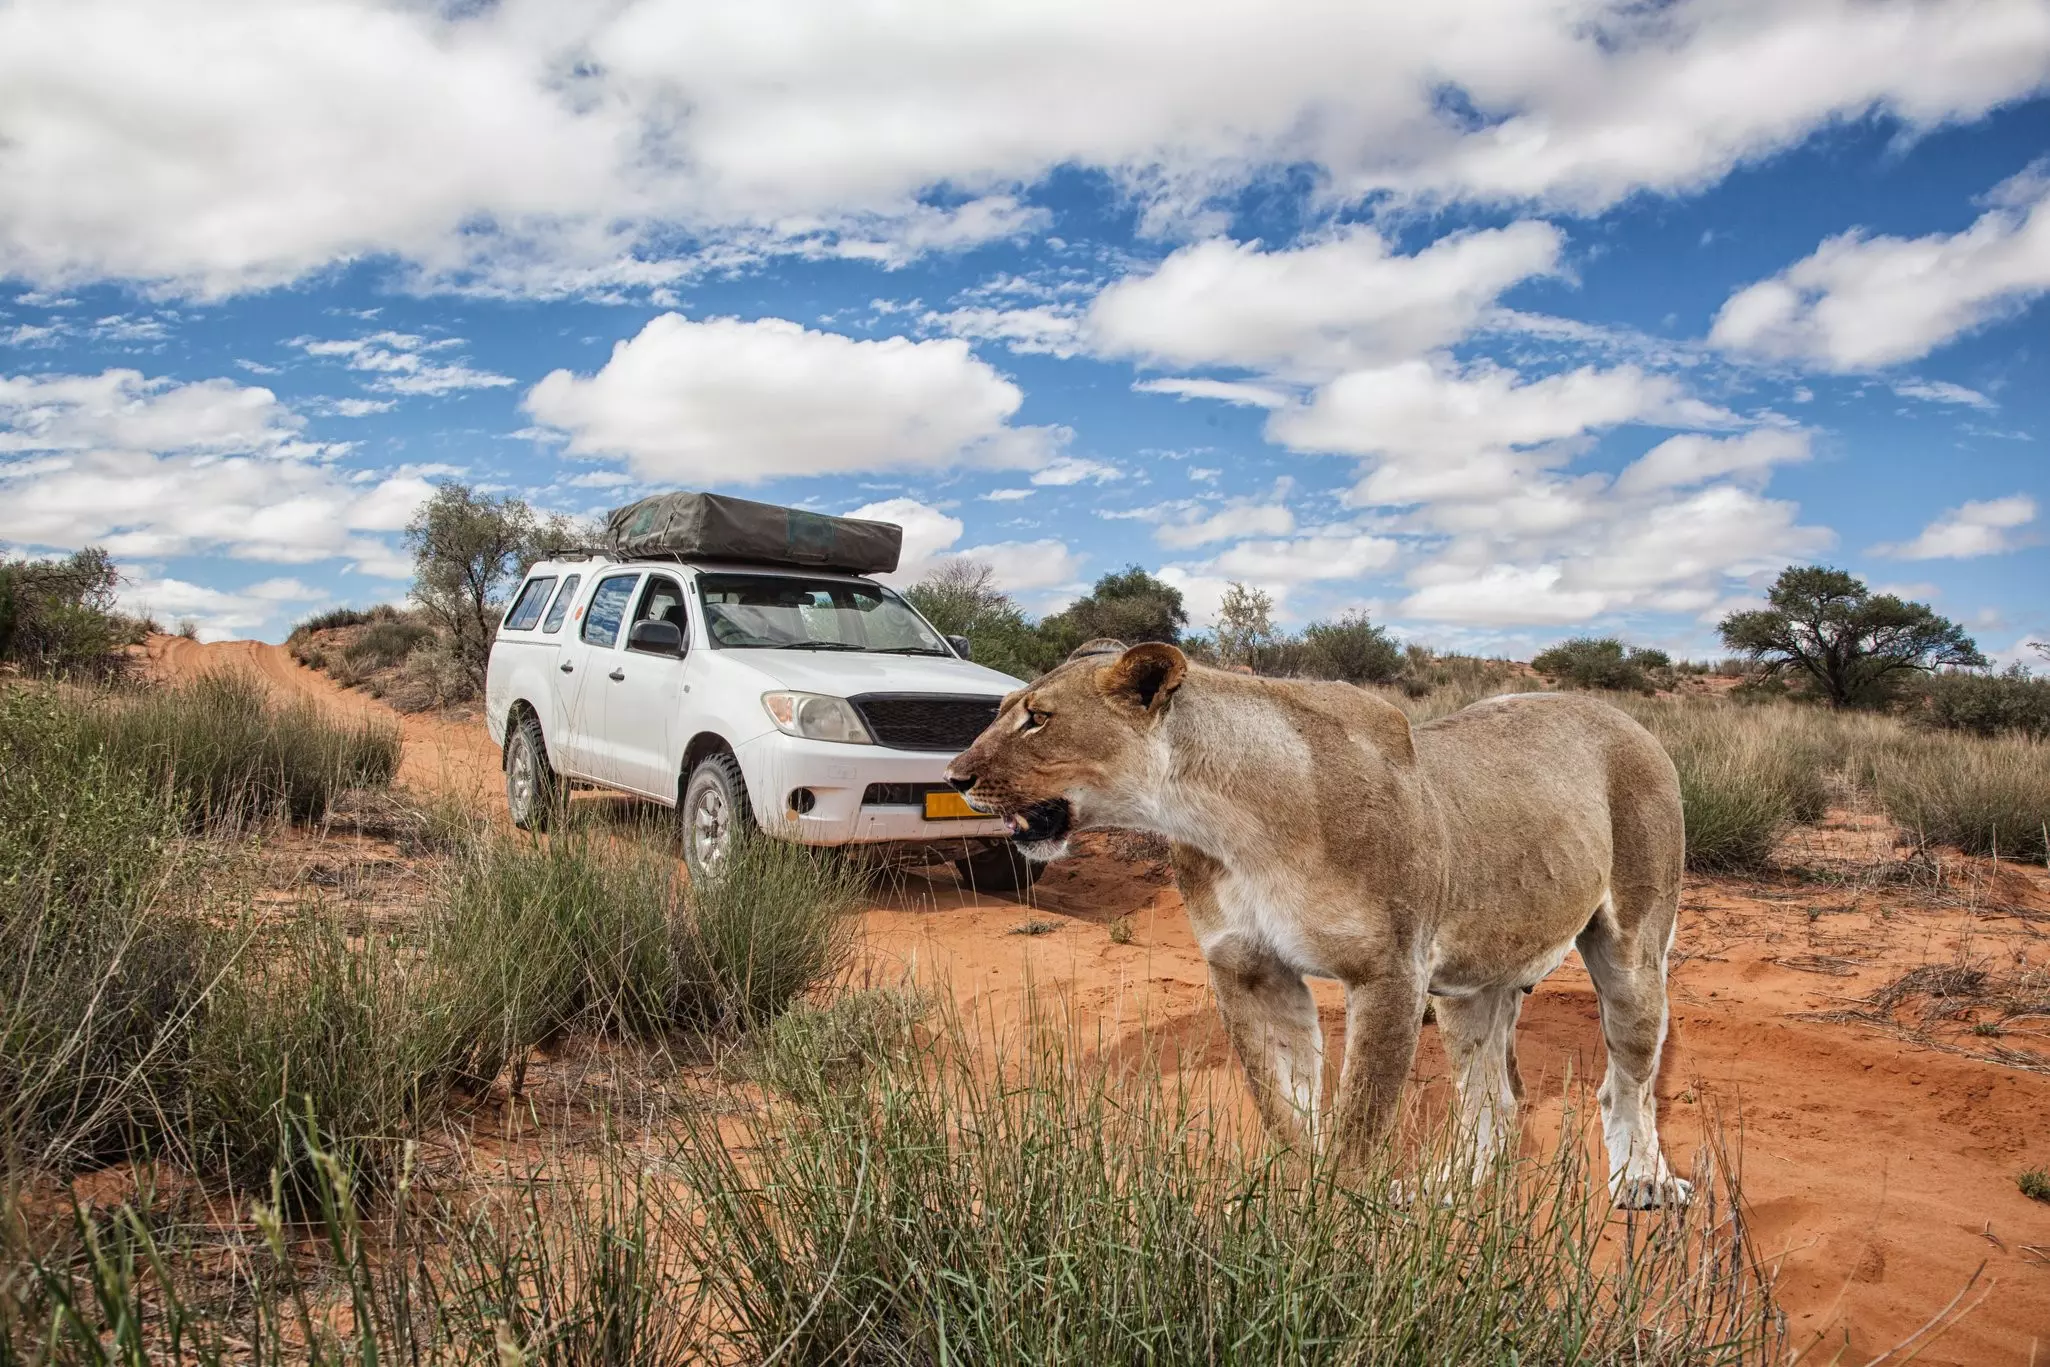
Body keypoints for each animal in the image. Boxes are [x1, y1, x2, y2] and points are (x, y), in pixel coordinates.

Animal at [944, 641, 1690, 1208]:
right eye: (1002, 712)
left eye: (1037, 718)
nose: (955, 774)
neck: (1227, 819)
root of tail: (1628, 719)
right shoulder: (1248, 969)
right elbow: (1283, 1106)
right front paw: (1290, 1211)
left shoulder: (1389, 972)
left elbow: (1359, 1119)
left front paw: (1333, 1234)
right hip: (1473, 987)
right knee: (1495, 1101)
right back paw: (1446, 1191)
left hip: (1632, 951)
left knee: (1629, 1081)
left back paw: (1643, 1181)